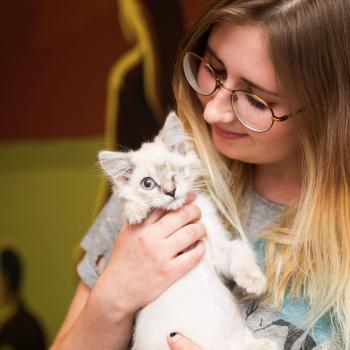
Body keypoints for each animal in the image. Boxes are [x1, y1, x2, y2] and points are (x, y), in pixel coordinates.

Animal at [98, 111, 276, 350]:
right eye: (148, 183)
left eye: (175, 173)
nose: (171, 191)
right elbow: (130, 207)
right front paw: (136, 212)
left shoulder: (218, 248)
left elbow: (240, 253)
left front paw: (254, 281)